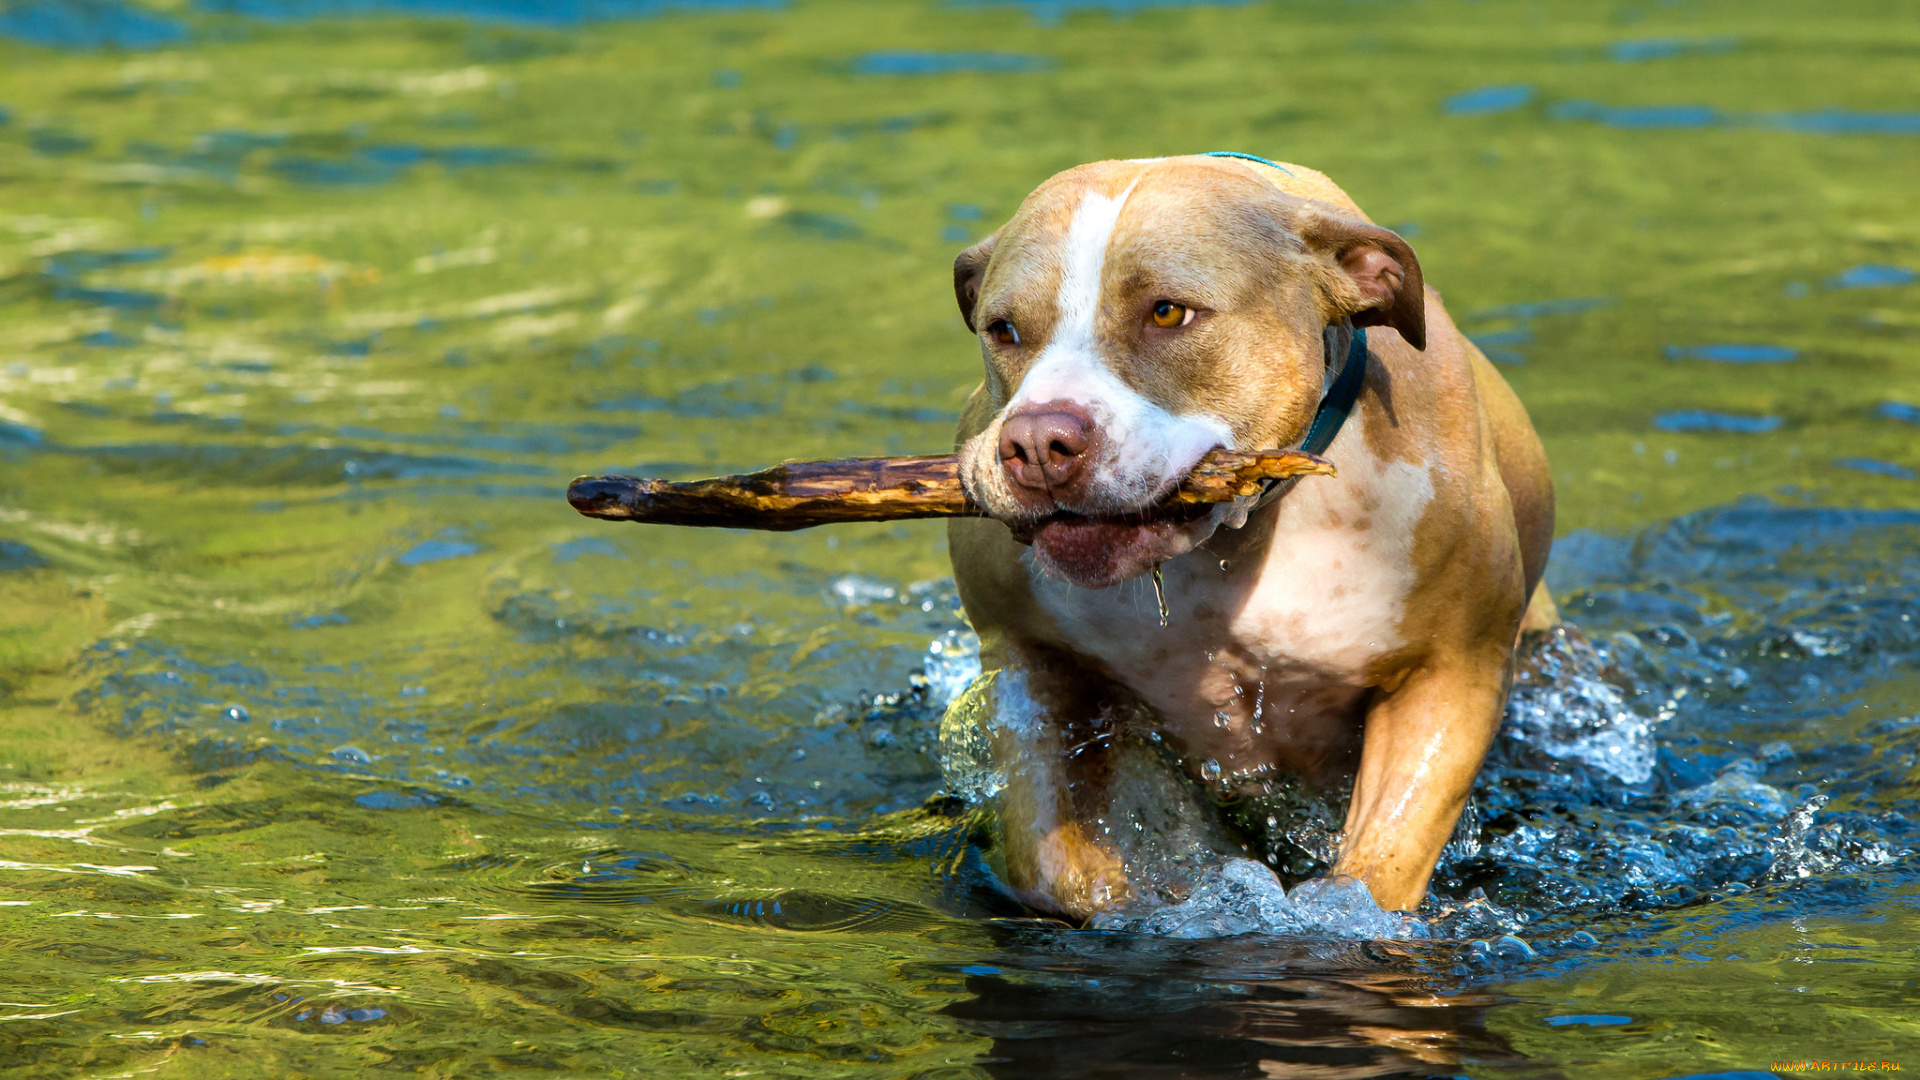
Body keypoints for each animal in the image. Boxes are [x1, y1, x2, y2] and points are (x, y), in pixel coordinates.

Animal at [944, 153, 1559, 914]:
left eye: (1168, 312)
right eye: (1002, 329)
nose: (1034, 443)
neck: (1236, 537)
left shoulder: (1450, 675)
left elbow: (1377, 872)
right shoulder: (1028, 660)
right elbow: (1054, 864)